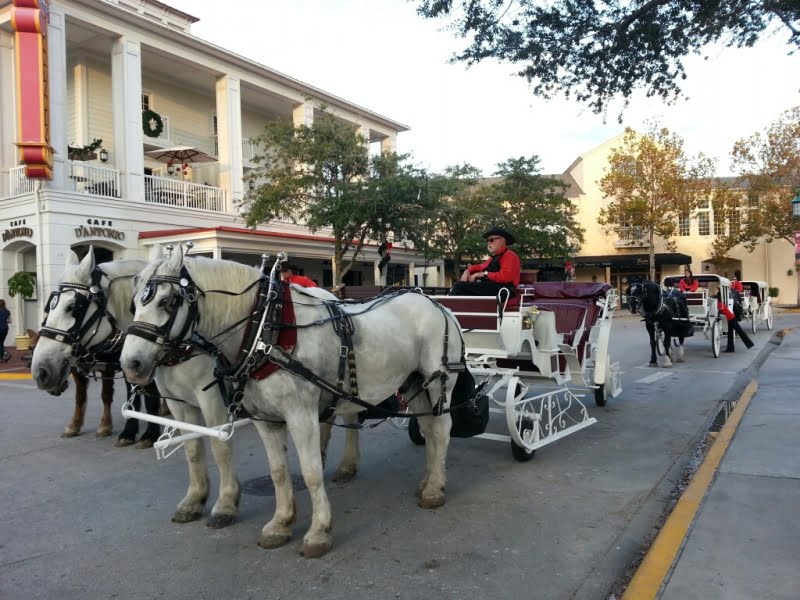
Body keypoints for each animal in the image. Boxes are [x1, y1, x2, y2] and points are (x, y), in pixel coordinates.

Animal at [30, 251, 241, 528]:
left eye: (72, 307)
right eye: (49, 306)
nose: (41, 371)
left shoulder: (210, 396)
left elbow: (218, 444)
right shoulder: (149, 377)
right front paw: (129, 433)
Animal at [122, 250, 466, 556]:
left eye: (168, 302)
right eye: (134, 302)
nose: (130, 364)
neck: (265, 330)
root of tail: (437, 304)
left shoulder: (301, 416)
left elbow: (311, 471)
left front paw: (318, 532)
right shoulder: (265, 419)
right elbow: (277, 472)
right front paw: (281, 524)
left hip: (438, 381)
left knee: (441, 429)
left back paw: (435, 488)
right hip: (413, 383)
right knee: (428, 427)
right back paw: (429, 480)